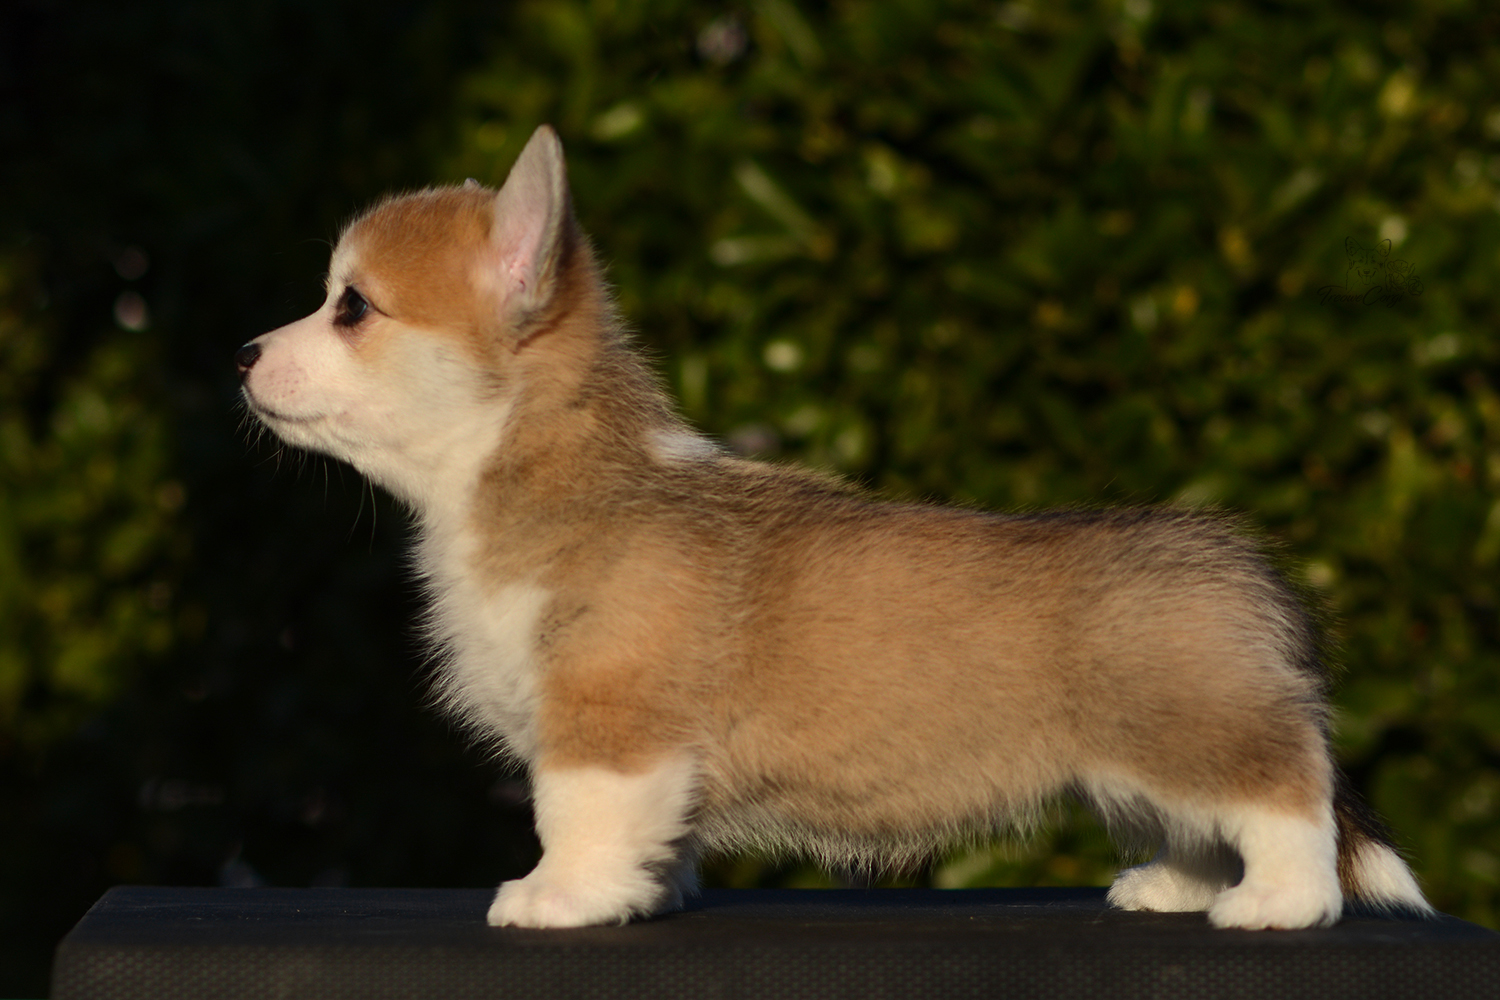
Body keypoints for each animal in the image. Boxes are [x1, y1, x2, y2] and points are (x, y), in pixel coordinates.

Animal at [237, 125, 1432, 930]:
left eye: (351, 307)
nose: (242, 354)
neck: (533, 469)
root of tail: (1237, 562)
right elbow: (654, 838)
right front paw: (647, 893)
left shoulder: (607, 722)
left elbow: (574, 818)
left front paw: (556, 896)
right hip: (1144, 763)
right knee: (1196, 824)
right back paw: (1171, 890)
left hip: (1196, 731)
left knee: (1289, 796)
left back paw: (1277, 903)